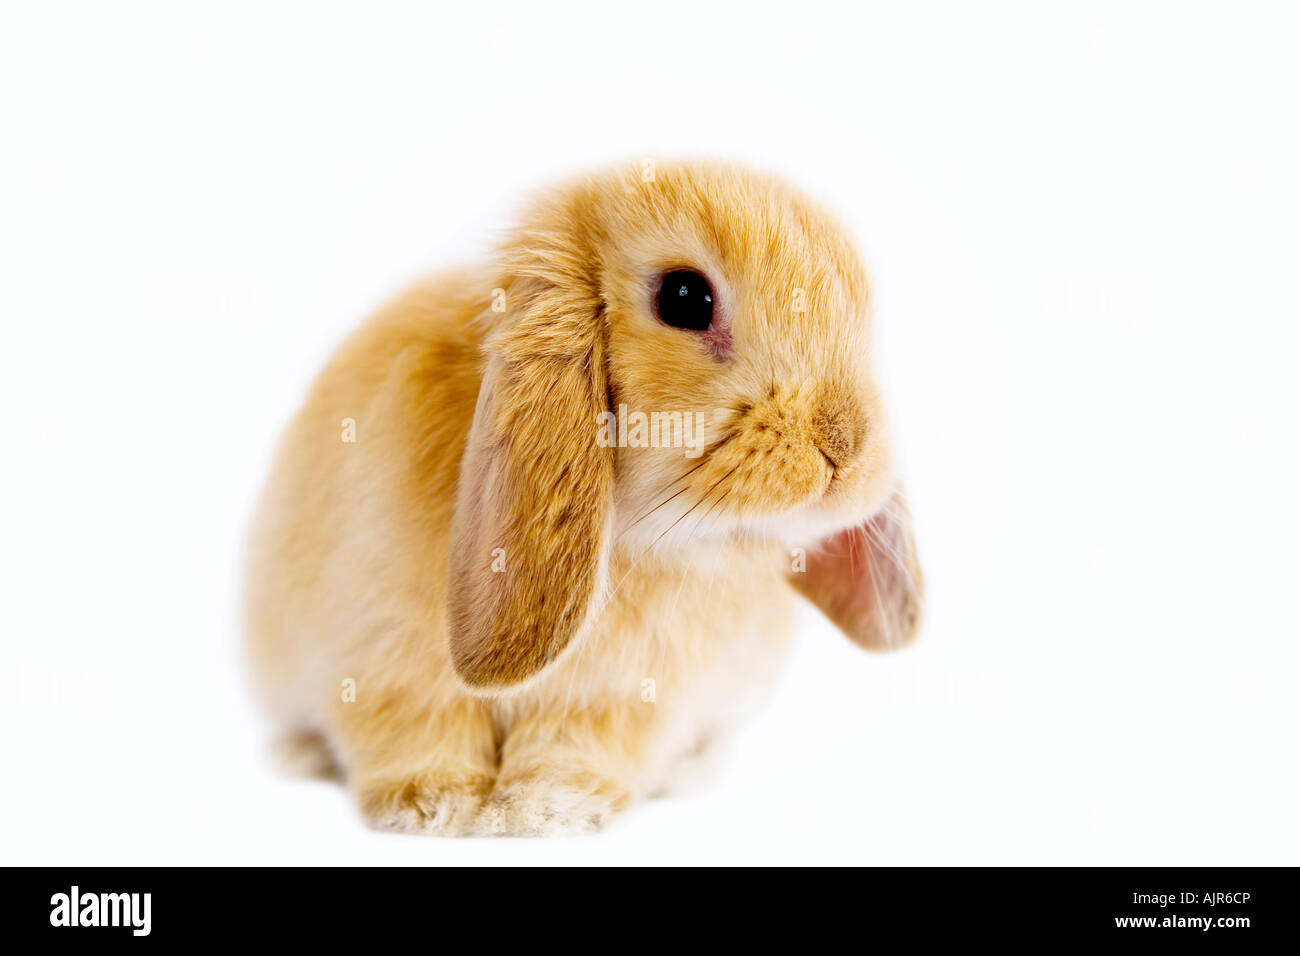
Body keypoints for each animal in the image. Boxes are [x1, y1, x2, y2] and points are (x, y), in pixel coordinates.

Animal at [243, 159, 923, 836]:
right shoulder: (382, 662)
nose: (845, 445)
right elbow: (415, 725)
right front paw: (432, 803)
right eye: (684, 298)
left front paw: (546, 807)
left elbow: (582, 741)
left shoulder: (623, 699)